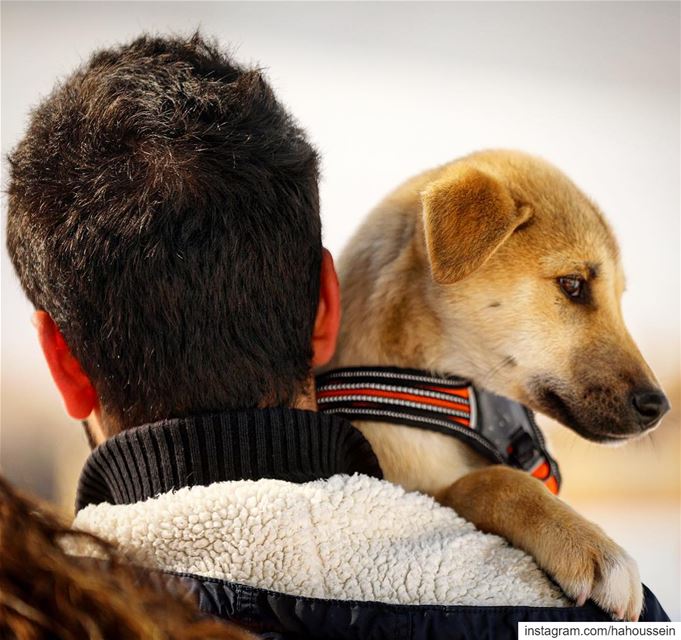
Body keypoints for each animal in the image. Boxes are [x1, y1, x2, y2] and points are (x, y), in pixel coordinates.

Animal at [326, 150, 668, 620]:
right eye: (573, 284)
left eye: (618, 296)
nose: (659, 406)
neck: (443, 396)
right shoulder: (403, 479)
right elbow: (493, 481)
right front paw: (591, 547)